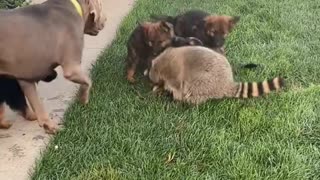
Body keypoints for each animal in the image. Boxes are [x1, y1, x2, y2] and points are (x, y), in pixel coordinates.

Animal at [0, 0, 107, 134]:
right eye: (101, 7)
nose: (106, 20)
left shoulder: (25, 77)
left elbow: (38, 106)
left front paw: (48, 126)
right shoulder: (72, 68)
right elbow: (88, 82)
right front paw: (83, 99)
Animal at [149, 46, 284, 105]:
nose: (149, 76)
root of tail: (227, 83)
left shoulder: (174, 76)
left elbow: (177, 87)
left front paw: (168, 92)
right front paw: (160, 88)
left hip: (206, 83)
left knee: (193, 90)